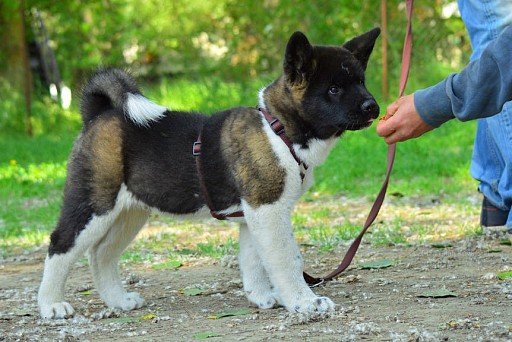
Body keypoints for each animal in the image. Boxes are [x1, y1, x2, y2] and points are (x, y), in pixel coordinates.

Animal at [38, 28, 380, 320]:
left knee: (101, 254)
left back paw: (118, 301)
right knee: (61, 244)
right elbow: (286, 259)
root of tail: (99, 115)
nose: (373, 107)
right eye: (334, 89)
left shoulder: (254, 215)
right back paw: (51, 305)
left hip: (130, 212)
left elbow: (254, 260)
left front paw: (261, 296)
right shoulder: (268, 210)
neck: (278, 129)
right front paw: (304, 302)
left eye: (362, 82)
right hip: (95, 204)